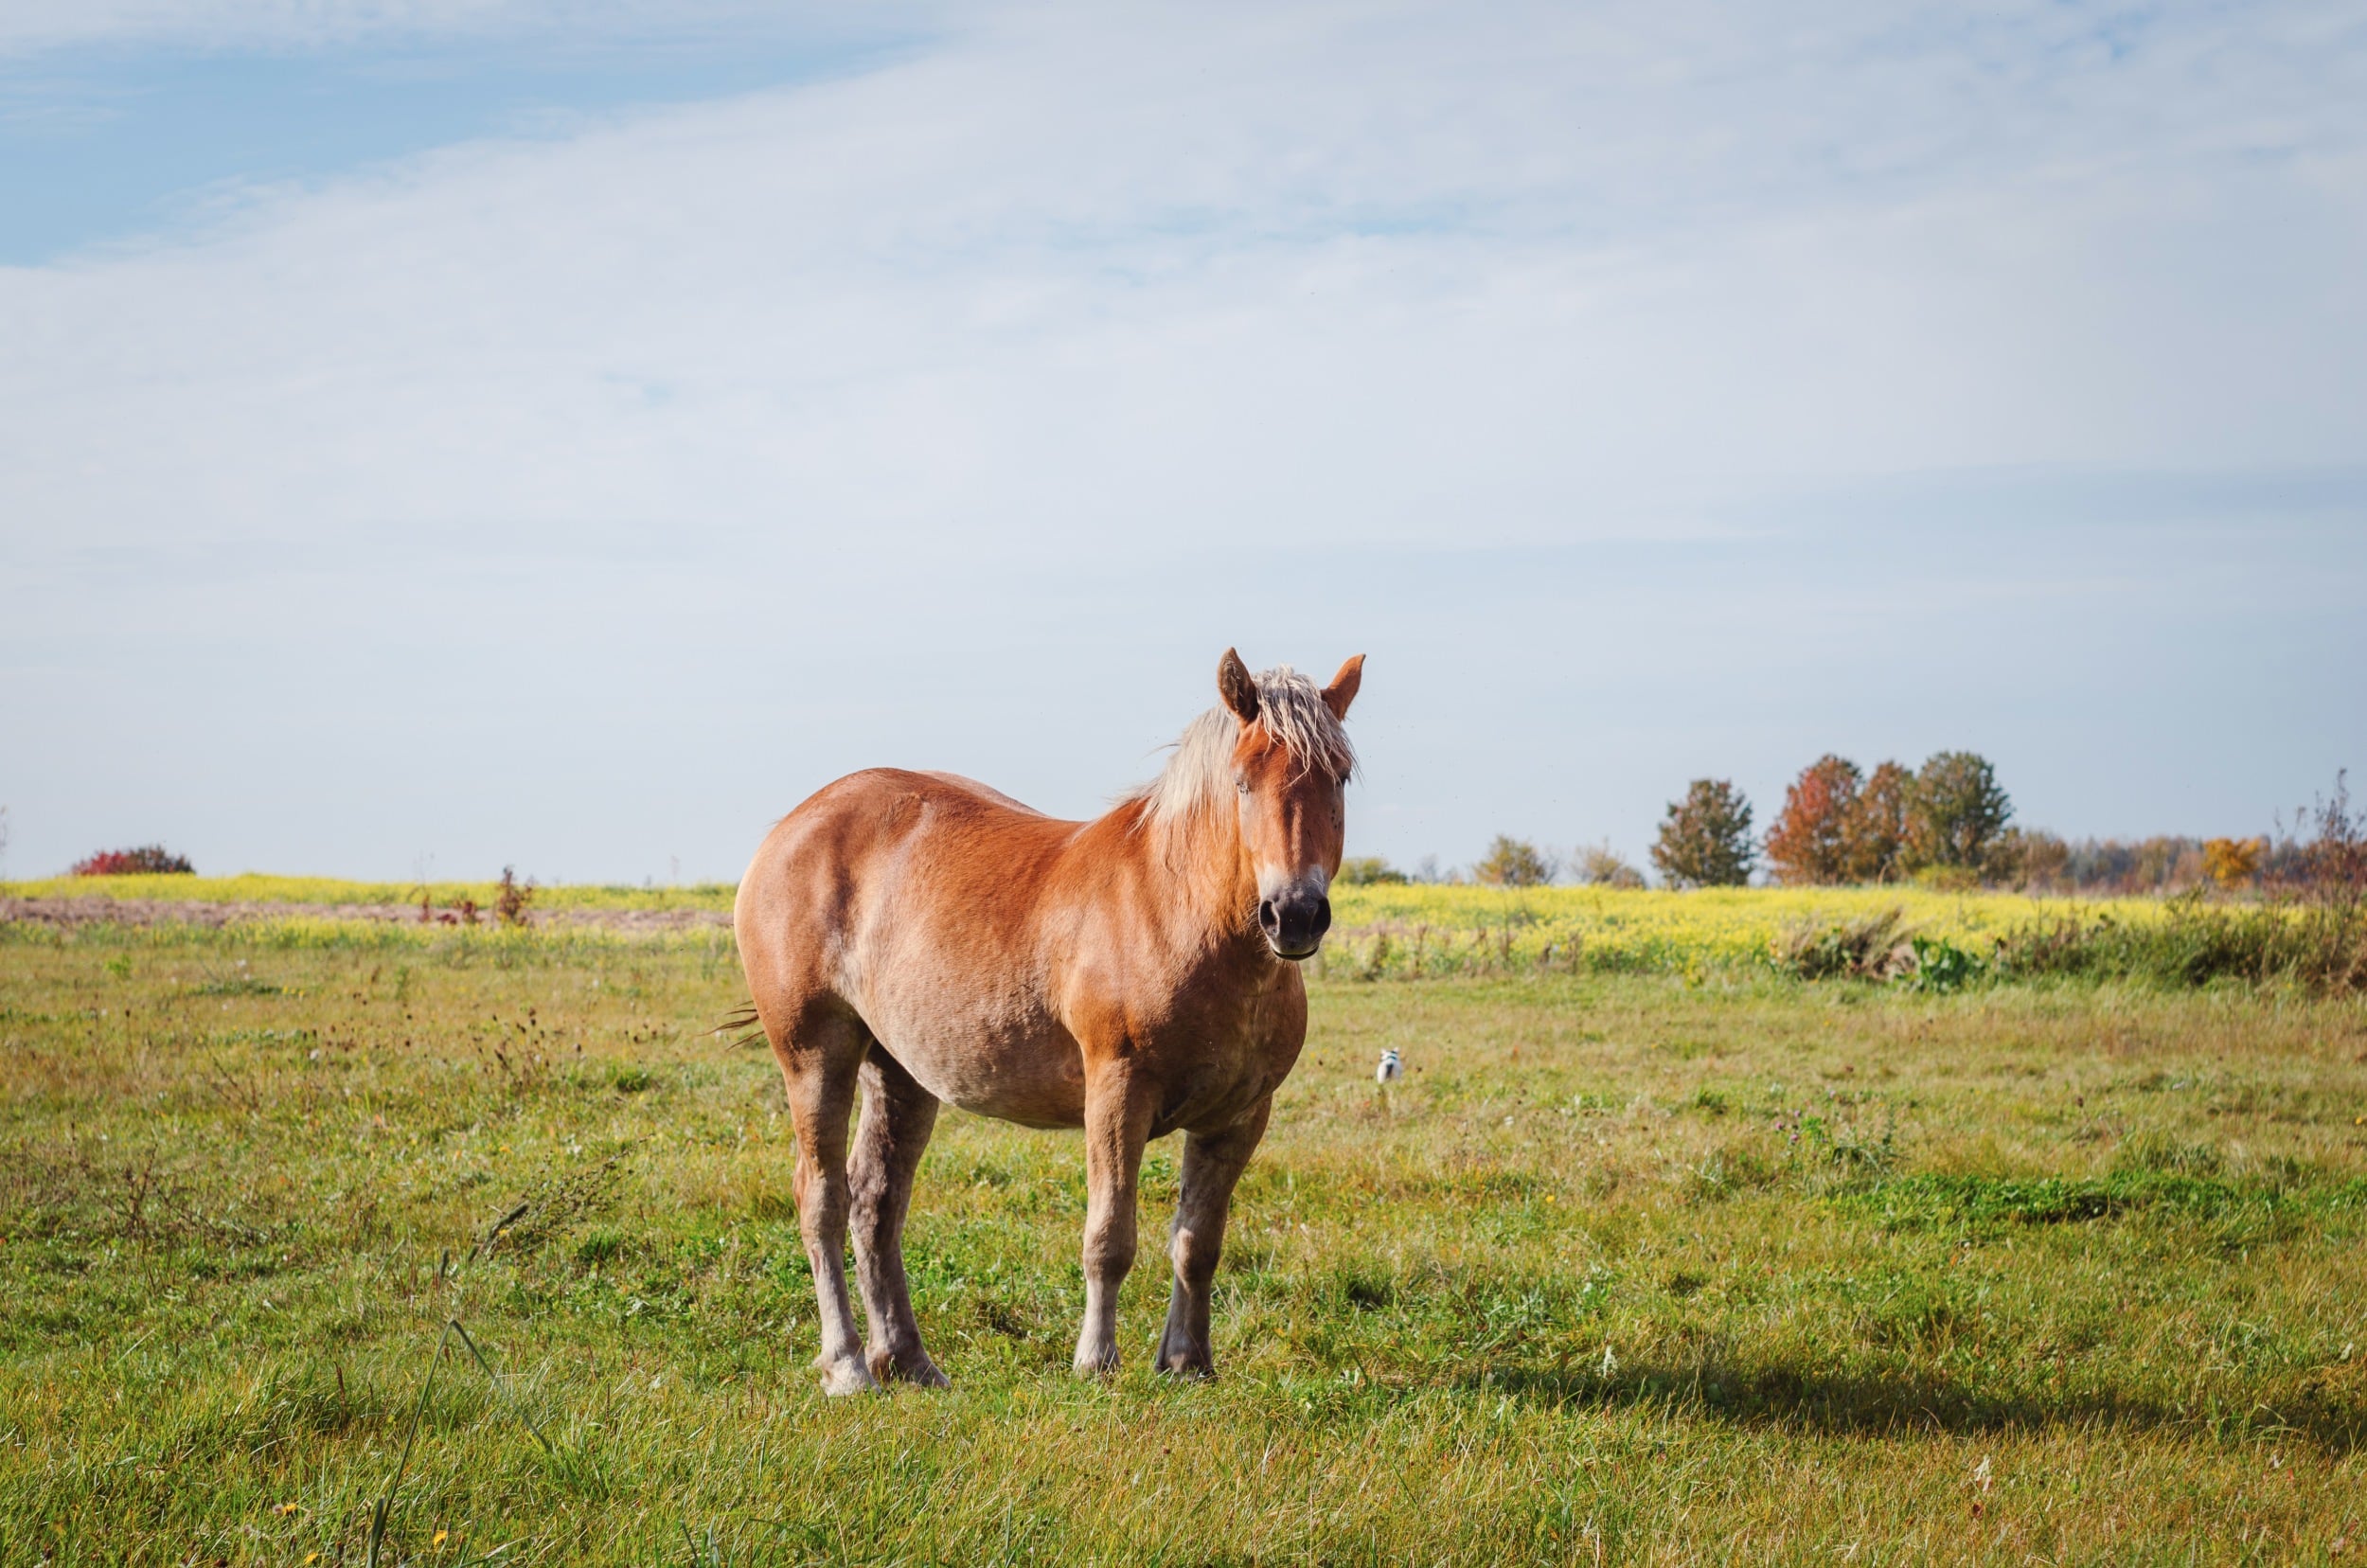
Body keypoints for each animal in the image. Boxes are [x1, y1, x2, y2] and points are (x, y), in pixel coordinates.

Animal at [739, 649, 1373, 1401]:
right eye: (1243, 780)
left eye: (1338, 777)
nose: (1294, 914)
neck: (1180, 913)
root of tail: (794, 826)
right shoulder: (1117, 1094)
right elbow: (1110, 1238)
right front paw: (1096, 1361)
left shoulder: (1239, 1118)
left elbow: (1198, 1243)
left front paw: (1188, 1362)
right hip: (815, 1056)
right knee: (823, 1200)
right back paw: (847, 1366)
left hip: (900, 1071)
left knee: (876, 1202)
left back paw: (910, 1361)